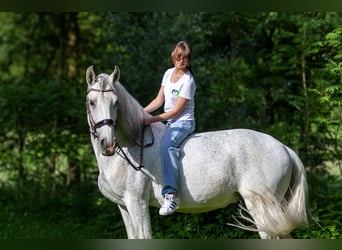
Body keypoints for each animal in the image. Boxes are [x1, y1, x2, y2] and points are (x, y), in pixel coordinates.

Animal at [86, 64, 310, 238]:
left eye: (116, 103)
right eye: (92, 102)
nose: (107, 143)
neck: (130, 147)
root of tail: (284, 148)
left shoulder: (137, 203)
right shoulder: (123, 206)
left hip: (263, 210)